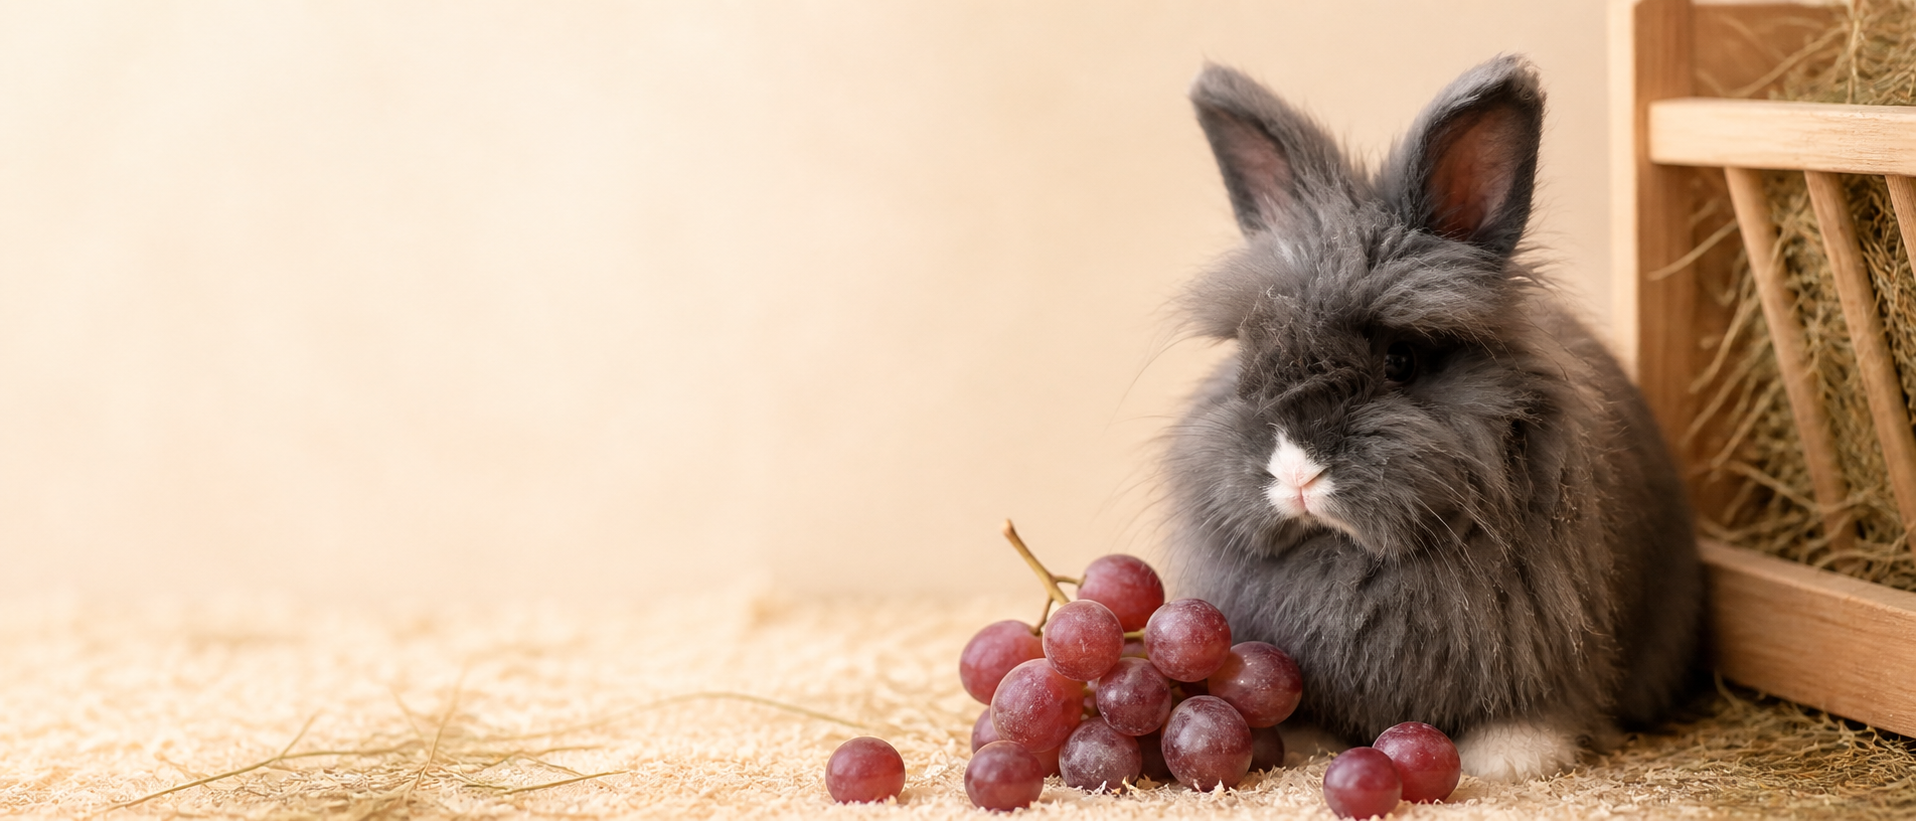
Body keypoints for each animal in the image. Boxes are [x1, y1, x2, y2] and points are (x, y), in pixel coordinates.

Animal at [1162, 55, 1703, 782]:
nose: (1297, 471)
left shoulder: (1557, 641)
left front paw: (1510, 759)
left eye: (1401, 360)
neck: (1357, 558)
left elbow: (1541, 708)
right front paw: (1301, 745)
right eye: (1252, 355)